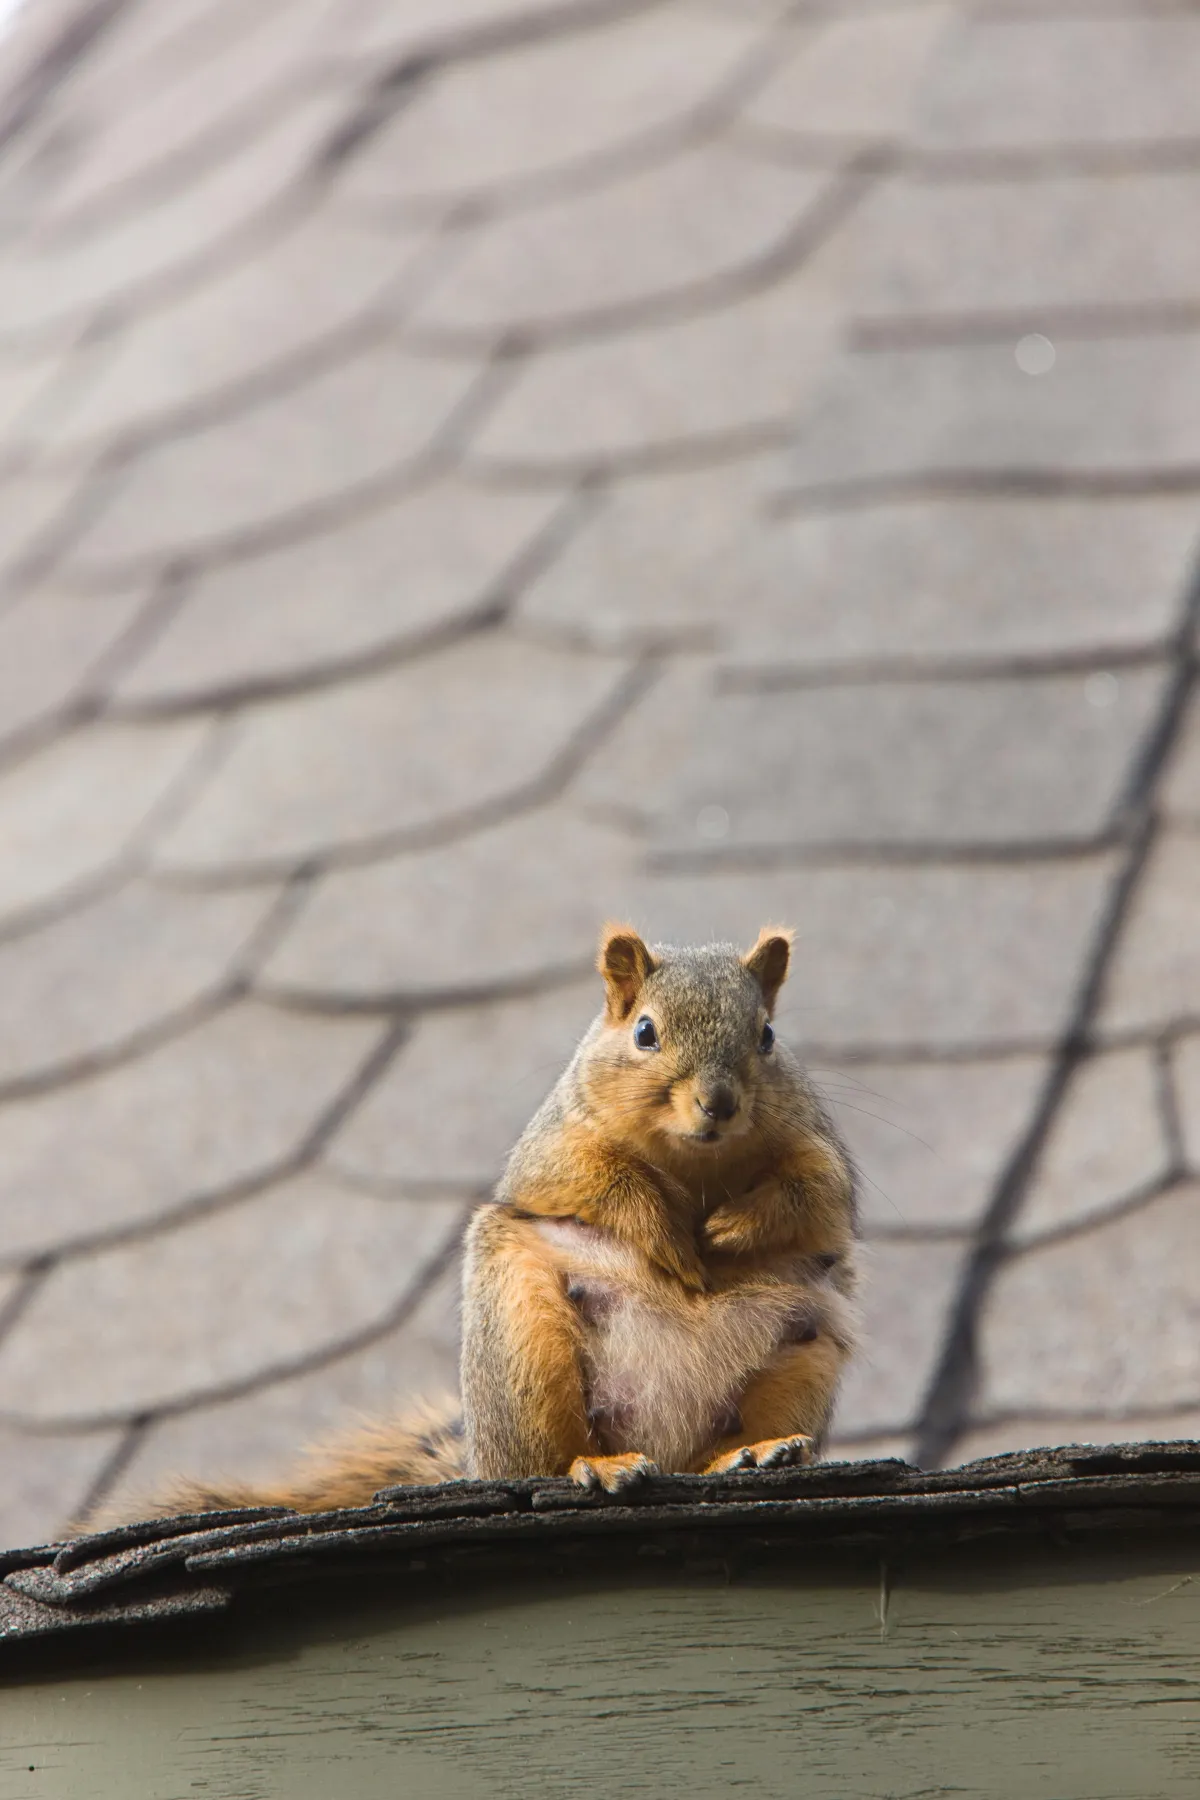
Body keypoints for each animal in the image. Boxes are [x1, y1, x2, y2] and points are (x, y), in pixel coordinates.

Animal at [143, 928, 852, 1519]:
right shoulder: (557, 1145)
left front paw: (729, 1230)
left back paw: (747, 1454)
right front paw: (671, 1241)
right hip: (523, 1343)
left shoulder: (816, 1147)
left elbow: (816, 1195)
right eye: (645, 1032)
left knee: (707, 1456)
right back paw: (598, 1466)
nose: (719, 1103)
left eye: (767, 1035)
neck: (696, 1162)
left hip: (804, 1353)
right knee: (544, 1460)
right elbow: (600, 1184)